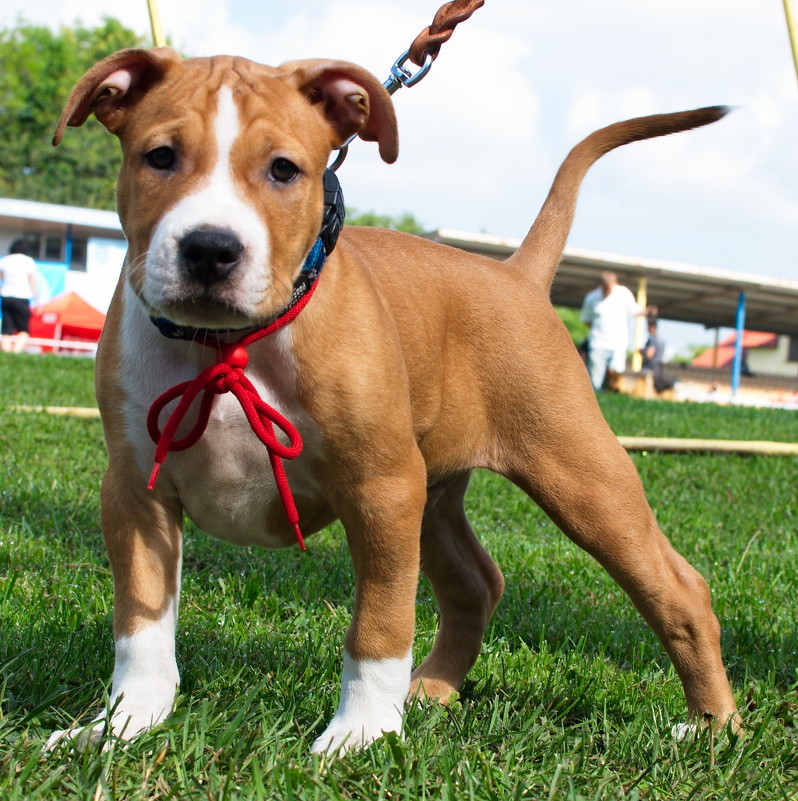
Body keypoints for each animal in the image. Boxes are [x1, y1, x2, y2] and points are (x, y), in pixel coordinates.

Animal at [47, 48, 740, 752]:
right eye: (159, 157)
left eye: (283, 169)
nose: (210, 249)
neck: (228, 344)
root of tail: (516, 273)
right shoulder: (136, 491)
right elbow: (141, 624)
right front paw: (122, 725)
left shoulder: (379, 487)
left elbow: (379, 625)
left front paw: (360, 734)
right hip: (432, 490)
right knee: (476, 585)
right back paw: (432, 688)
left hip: (578, 476)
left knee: (679, 589)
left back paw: (714, 726)